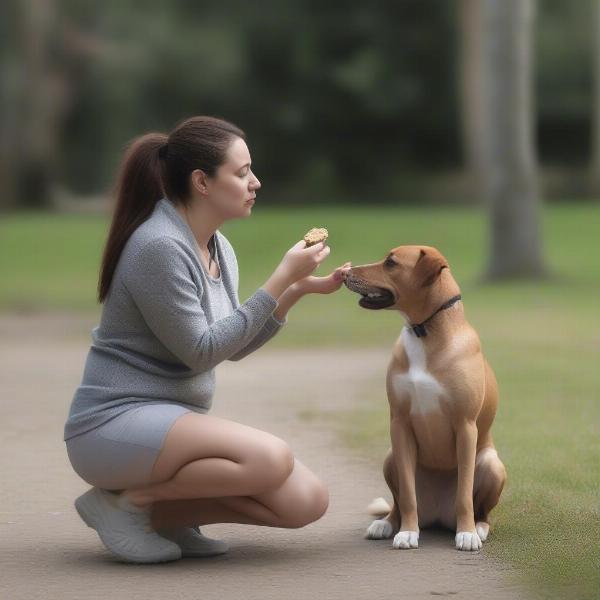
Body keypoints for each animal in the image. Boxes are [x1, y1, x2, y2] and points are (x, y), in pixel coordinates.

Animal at [342, 246, 506, 552]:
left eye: (391, 262)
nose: (346, 271)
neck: (426, 332)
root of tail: (438, 516)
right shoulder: (400, 424)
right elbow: (407, 496)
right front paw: (407, 532)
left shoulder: (465, 426)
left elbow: (464, 493)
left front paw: (466, 533)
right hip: (391, 457)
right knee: (397, 503)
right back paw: (387, 523)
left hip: (492, 465)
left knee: (481, 510)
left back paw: (477, 527)